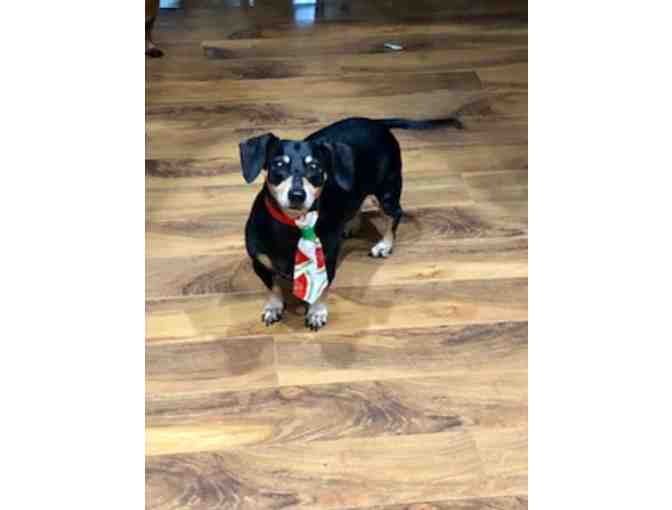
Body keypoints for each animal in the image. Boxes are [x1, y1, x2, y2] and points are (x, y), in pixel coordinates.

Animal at [239, 116, 463, 330]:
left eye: (315, 167)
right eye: (278, 165)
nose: (297, 195)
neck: (292, 225)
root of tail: (376, 123)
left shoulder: (327, 262)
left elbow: (321, 289)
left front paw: (316, 312)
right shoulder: (259, 263)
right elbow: (273, 287)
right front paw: (273, 307)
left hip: (387, 193)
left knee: (395, 215)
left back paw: (384, 245)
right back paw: (350, 225)